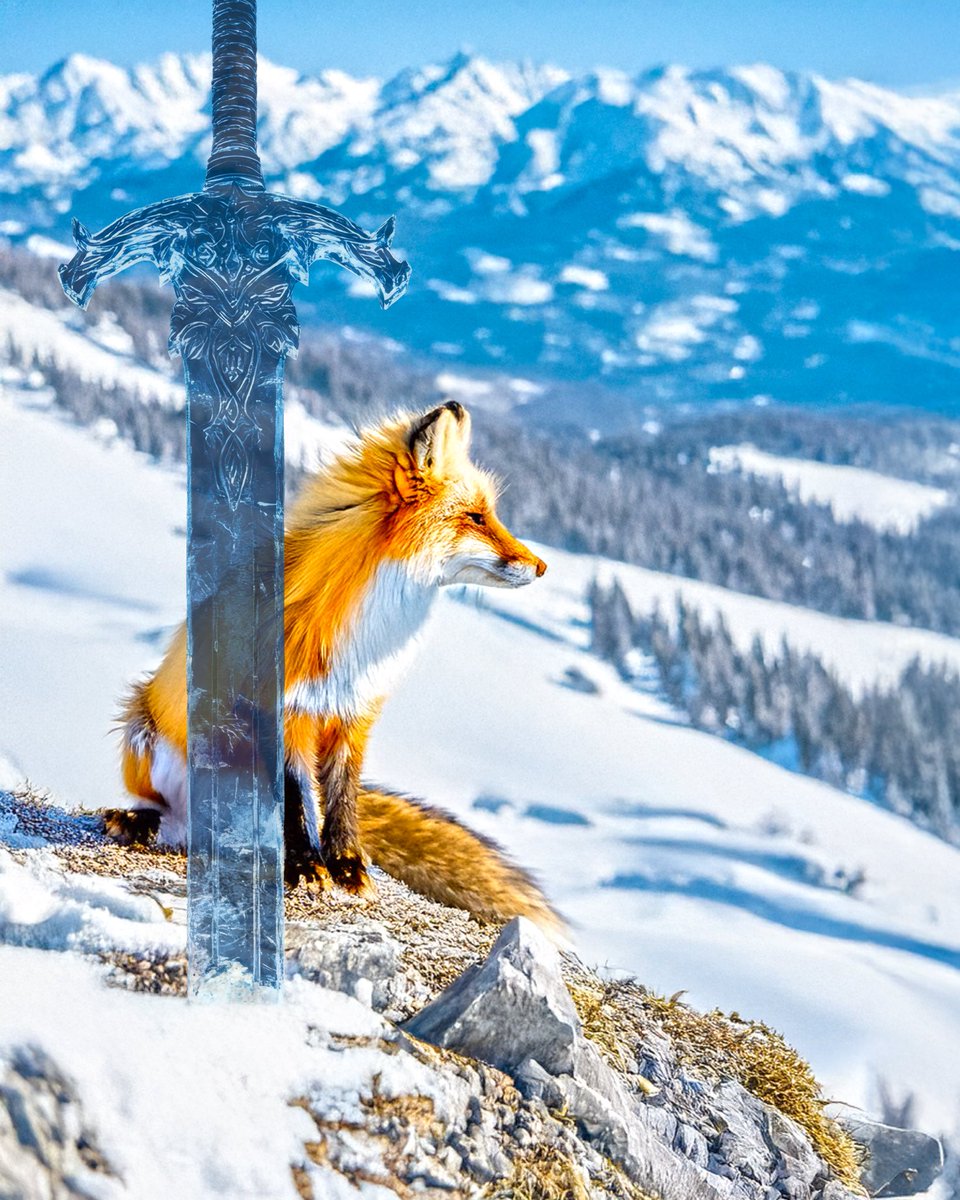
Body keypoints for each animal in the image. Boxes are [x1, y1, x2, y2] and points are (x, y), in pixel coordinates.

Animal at [104, 401, 567, 941]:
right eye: (475, 517)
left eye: (489, 514)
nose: (542, 567)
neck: (368, 632)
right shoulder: (282, 709)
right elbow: (295, 801)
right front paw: (307, 867)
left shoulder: (354, 710)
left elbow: (341, 800)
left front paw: (347, 867)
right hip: (147, 737)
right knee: (186, 822)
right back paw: (143, 822)